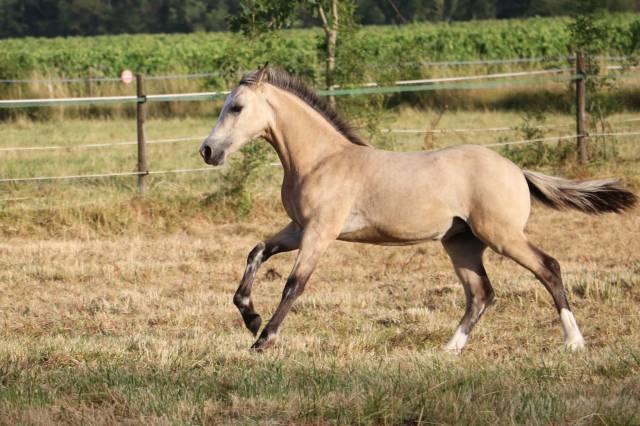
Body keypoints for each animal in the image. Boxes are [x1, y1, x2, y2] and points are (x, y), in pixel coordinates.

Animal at [199, 65, 637, 353]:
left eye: (236, 107)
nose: (207, 151)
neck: (322, 159)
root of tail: (516, 170)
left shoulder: (321, 232)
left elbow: (294, 284)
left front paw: (263, 338)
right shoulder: (297, 228)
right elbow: (257, 251)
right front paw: (250, 317)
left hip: (502, 235)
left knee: (548, 268)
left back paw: (574, 341)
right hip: (462, 243)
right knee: (481, 292)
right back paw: (450, 348)